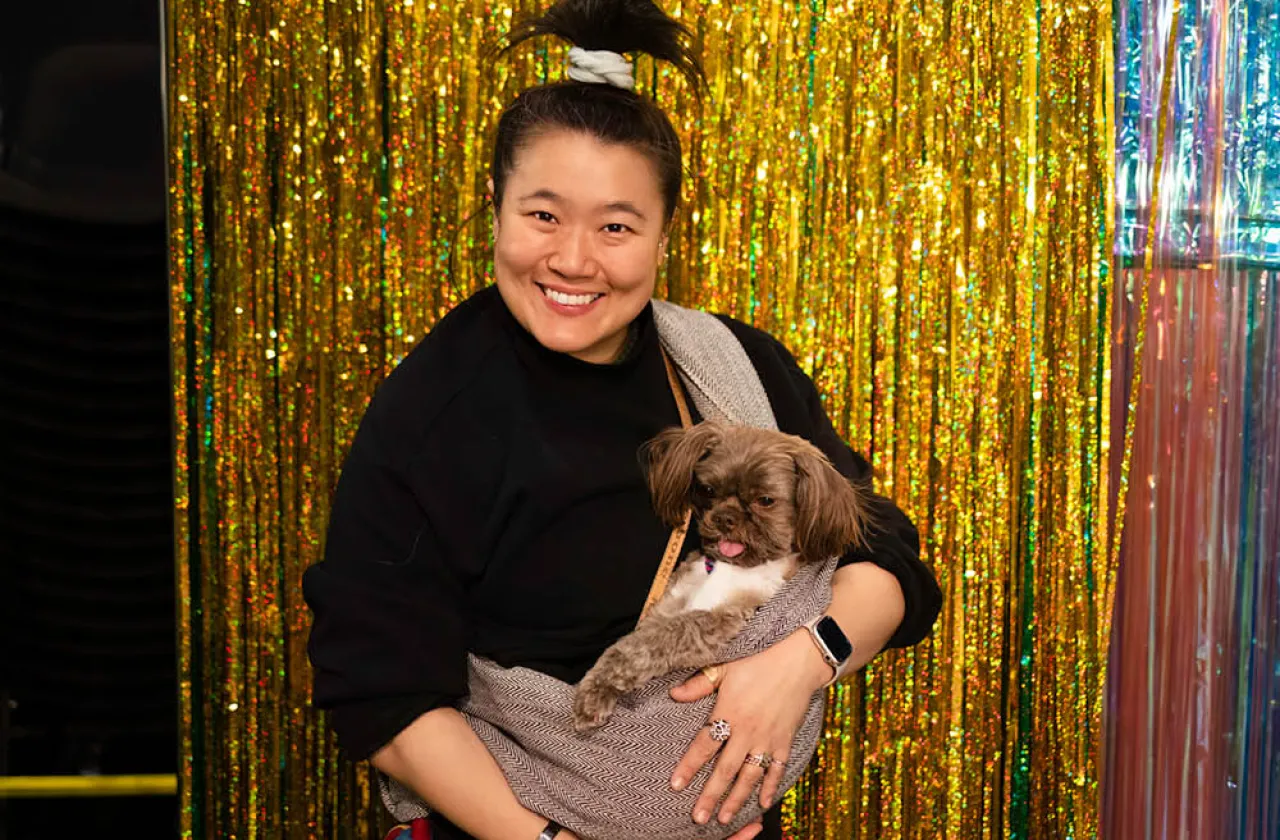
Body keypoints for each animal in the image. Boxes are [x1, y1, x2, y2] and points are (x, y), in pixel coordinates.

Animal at [578, 420, 870, 727]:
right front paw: (598, 685)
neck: (733, 568)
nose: (725, 517)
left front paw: (596, 692)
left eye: (765, 500)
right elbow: (642, 637)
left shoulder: (729, 617)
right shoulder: (675, 597)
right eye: (708, 489)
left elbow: (659, 639)